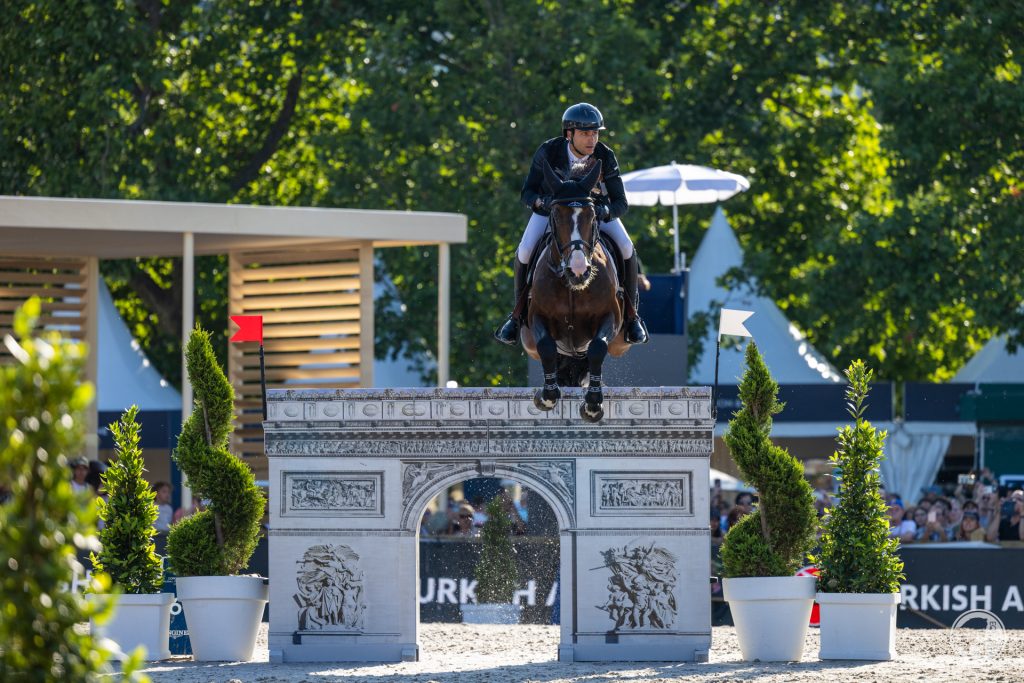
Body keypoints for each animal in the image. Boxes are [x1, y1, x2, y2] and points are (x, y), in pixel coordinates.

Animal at [520, 159, 630, 421]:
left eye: (592, 216)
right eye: (555, 216)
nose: (578, 271)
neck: (573, 287)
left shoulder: (610, 317)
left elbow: (598, 348)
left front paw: (592, 405)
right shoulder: (537, 317)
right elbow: (547, 347)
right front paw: (546, 397)